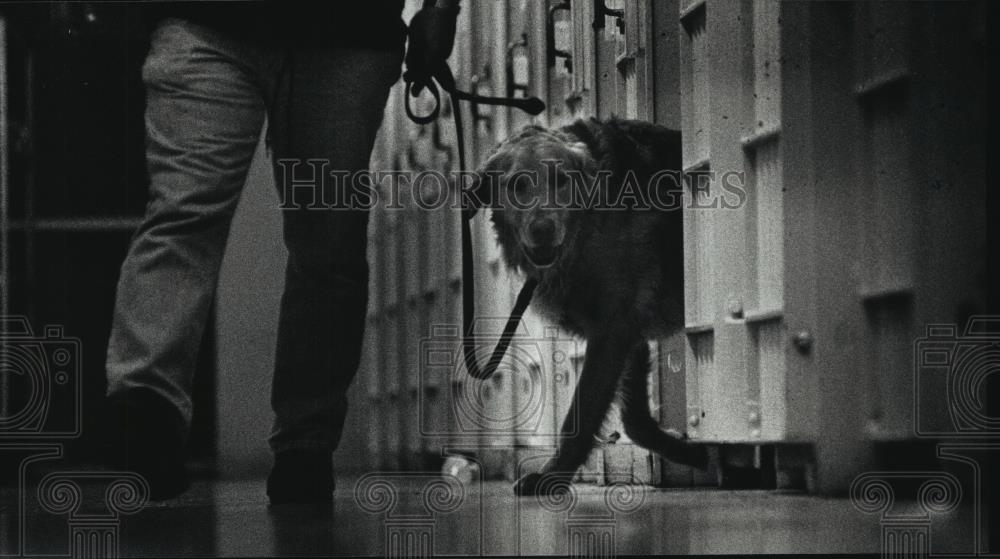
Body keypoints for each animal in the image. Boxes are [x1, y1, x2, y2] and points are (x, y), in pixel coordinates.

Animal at [474, 117, 704, 494]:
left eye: (562, 181)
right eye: (517, 185)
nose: (542, 229)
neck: (587, 226)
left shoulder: (611, 330)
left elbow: (579, 417)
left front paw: (553, 475)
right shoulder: (628, 332)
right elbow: (636, 422)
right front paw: (688, 450)